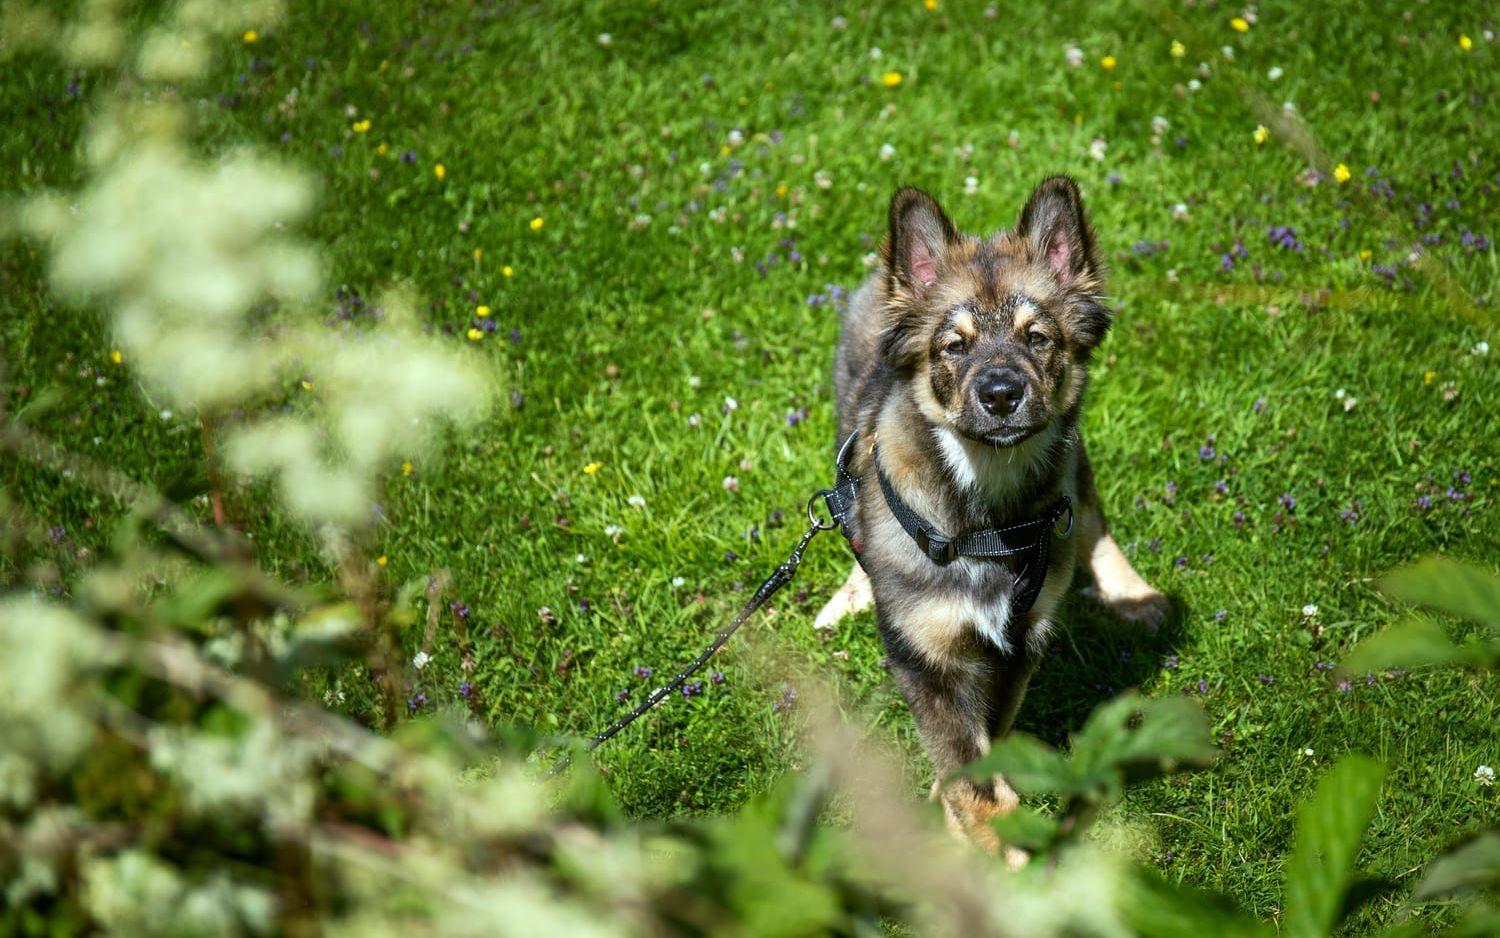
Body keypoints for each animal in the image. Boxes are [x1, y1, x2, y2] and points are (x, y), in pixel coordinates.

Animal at [816, 175, 1164, 858]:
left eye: (1038, 337)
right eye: (954, 346)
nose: (1001, 395)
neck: (984, 509)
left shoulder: (1019, 642)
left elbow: (986, 744)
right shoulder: (924, 654)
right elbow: (966, 762)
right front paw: (989, 845)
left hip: (1075, 460)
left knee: (1091, 515)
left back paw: (1132, 593)